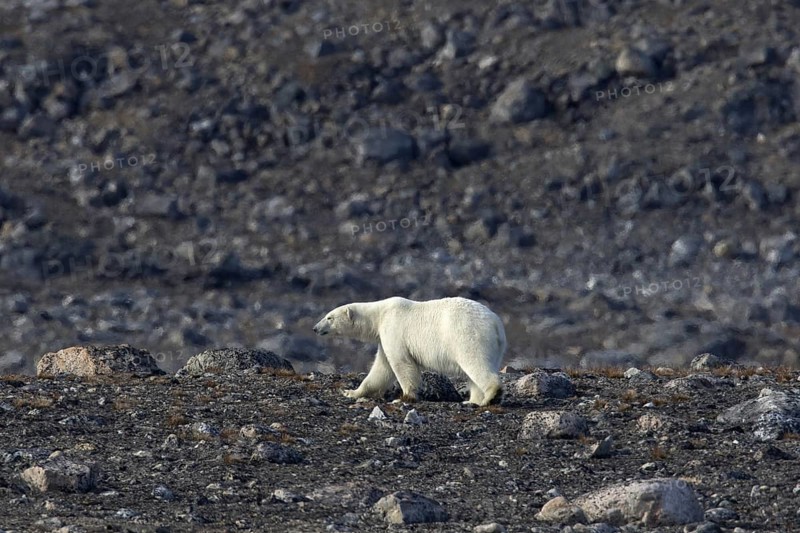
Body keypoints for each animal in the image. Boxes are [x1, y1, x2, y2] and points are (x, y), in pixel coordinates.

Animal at [313, 296, 506, 406]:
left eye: (329, 317)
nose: (315, 328)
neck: (379, 314)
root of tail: (496, 323)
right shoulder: (384, 338)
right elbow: (381, 368)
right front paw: (350, 392)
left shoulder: (394, 328)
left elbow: (401, 363)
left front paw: (404, 397)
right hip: (493, 346)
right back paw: (472, 400)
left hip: (467, 335)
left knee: (474, 361)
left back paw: (489, 397)